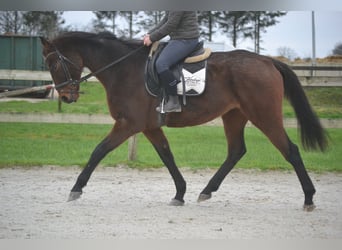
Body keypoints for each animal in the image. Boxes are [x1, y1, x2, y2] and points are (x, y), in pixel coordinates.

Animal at [41, 31, 328, 211]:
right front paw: (180, 193)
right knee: (236, 151)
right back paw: (207, 190)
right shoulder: (149, 127)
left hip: (264, 115)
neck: (123, 69)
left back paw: (309, 198)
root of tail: (267, 61)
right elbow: (167, 155)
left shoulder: (128, 124)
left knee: (290, 150)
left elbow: (98, 151)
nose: (66, 96)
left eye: (53, 64)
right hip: (234, 115)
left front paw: (76, 188)